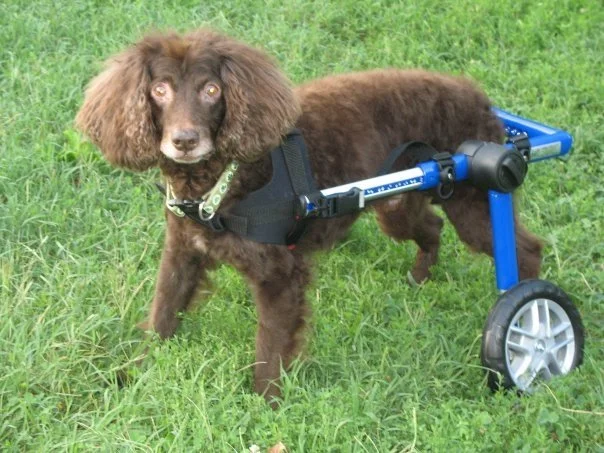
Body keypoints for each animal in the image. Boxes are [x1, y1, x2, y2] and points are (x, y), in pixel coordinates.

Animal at [75, 28, 544, 402]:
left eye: (212, 90)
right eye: (159, 89)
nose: (185, 140)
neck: (225, 181)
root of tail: (481, 98)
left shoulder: (282, 276)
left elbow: (268, 351)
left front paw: (264, 409)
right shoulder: (182, 252)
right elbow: (162, 316)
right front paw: (134, 374)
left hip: (477, 197)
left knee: (526, 250)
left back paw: (531, 326)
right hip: (399, 203)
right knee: (431, 226)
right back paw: (419, 278)